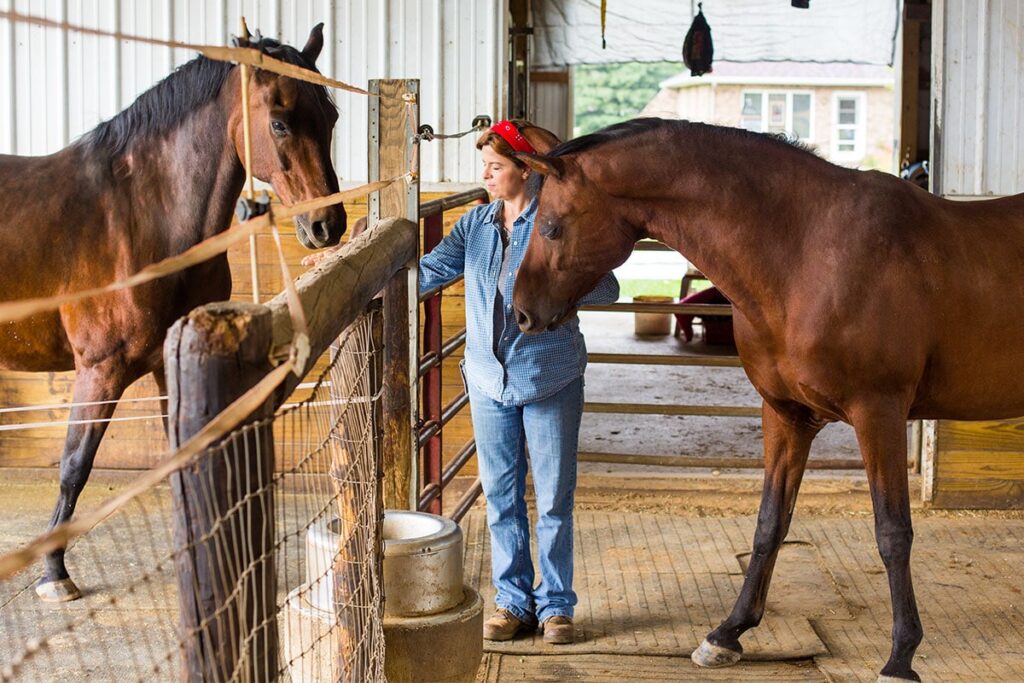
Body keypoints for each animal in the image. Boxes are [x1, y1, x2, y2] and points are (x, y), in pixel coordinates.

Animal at [0, 24, 347, 602]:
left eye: (332, 115)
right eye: (279, 121)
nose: (327, 225)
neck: (141, 214)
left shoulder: (171, 362)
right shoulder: (100, 370)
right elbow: (74, 465)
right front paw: (53, 573)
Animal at [511, 117, 1024, 682]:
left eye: (551, 226)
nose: (520, 313)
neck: (808, 254)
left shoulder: (879, 414)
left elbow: (893, 532)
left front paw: (900, 656)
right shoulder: (786, 416)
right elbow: (769, 523)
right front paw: (727, 632)